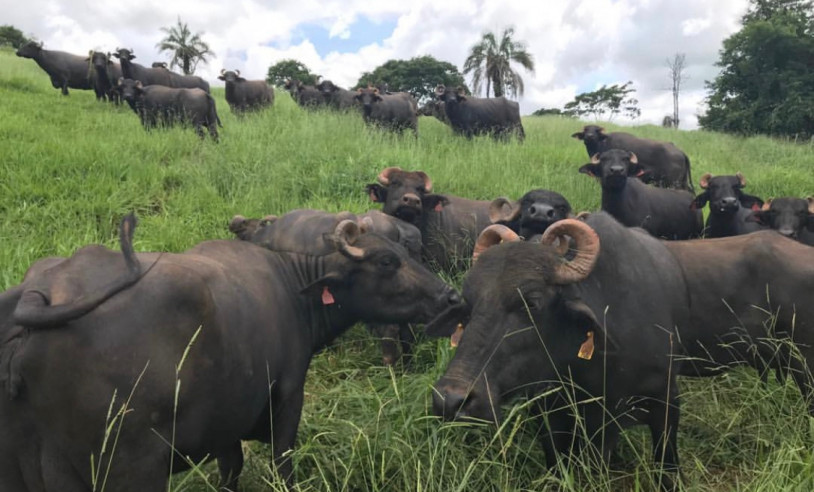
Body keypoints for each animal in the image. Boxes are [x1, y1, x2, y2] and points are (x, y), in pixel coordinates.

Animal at [0, 213, 460, 490]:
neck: (292, 285)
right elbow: (282, 462)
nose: (449, 295)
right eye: (386, 262)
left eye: (403, 253)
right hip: (130, 468)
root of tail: (39, 293)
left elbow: (231, 467)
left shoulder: (224, 417)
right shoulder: (287, 395)